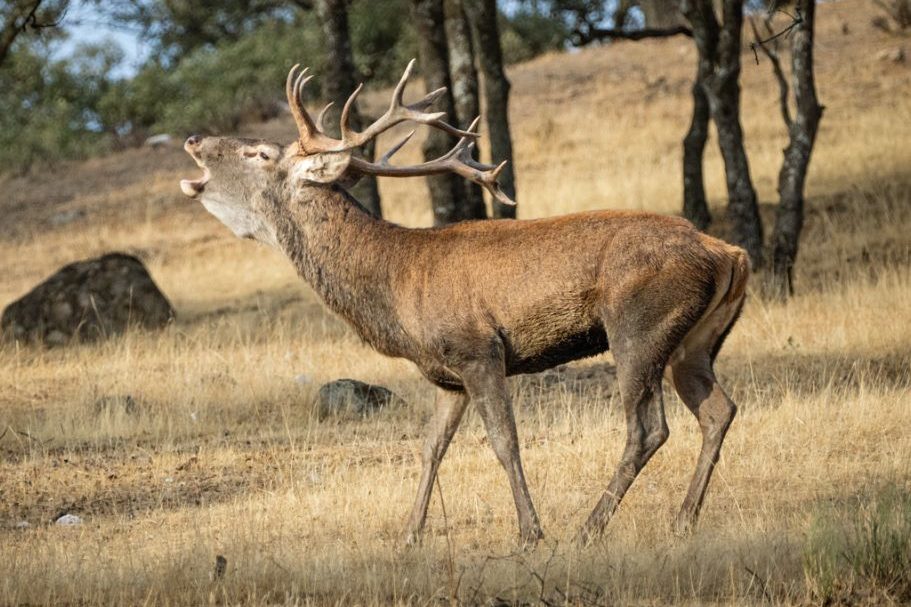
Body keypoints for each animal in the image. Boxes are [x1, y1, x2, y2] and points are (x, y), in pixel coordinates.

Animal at [179, 60, 750, 548]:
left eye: (260, 154)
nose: (193, 137)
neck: (395, 288)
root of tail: (730, 253)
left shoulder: (477, 349)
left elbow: (504, 441)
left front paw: (530, 533)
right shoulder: (444, 374)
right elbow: (431, 446)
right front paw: (409, 535)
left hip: (639, 325)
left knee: (648, 428)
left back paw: (590, 528)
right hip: (693, 342)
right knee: (718, 410)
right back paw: (682, 520)